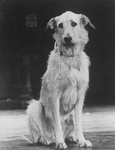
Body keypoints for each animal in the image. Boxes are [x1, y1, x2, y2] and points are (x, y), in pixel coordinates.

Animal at [26, 10, 95, 149]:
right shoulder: (55, 96)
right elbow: (57, 122)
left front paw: (82, 140)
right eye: (60, 25)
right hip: (35, 107)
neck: (69, 57)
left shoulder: (80, 97)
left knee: (69, 128)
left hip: (70, 114)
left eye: (74, 23)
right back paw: (47, 140)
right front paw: (60, 142)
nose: (67, 38)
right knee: (39, 134)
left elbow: (79, 123)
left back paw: (71, 137)